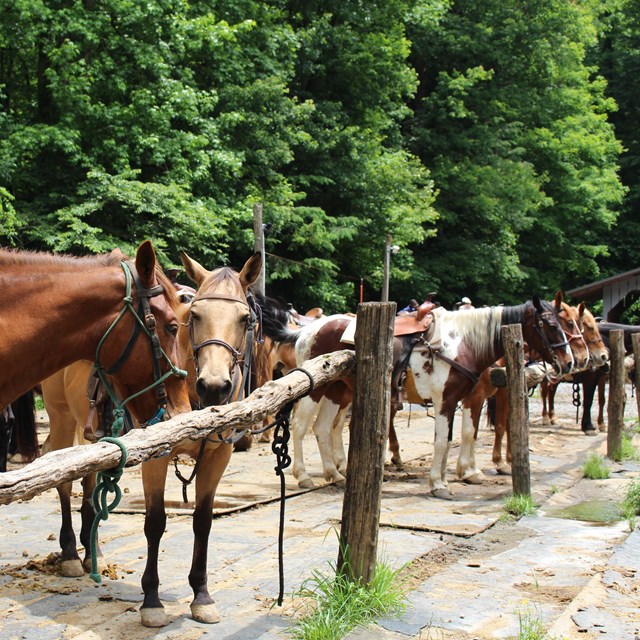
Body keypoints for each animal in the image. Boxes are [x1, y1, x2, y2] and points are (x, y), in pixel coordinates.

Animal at [39, 251, 261, 628]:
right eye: (195, 316)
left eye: (245, 319)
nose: (214, 386)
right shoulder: (155, 456)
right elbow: (155, 523)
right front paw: (152, 601)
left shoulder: (218, 456)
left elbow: (203, 521)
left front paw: (201, 595)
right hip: (61, 419)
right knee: (65, 483)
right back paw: (70, 553)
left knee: (89, 479)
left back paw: (93, 552)